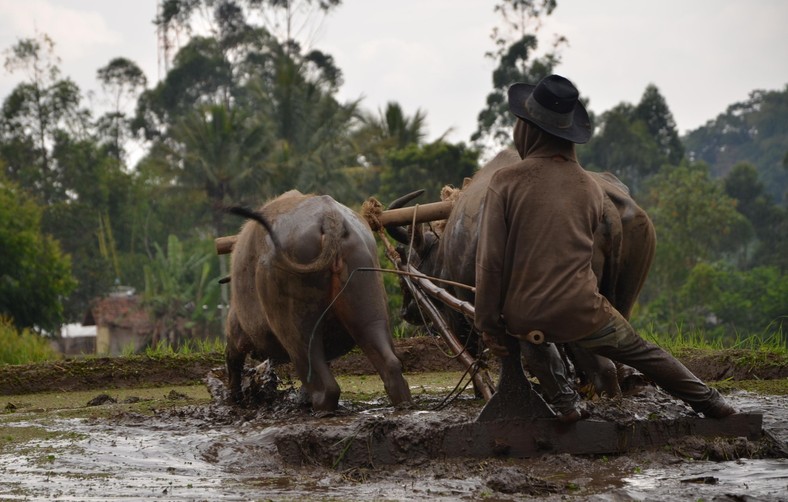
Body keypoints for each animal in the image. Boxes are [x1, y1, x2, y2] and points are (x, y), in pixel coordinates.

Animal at [225, 190, 412, 410]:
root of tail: (330, 219)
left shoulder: (236, 329)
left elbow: (233, 359)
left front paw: (234, 398)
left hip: (295, 319)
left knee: (319, 374)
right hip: (367, 294)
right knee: (388, 360)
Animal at [390, 149, 656, 396]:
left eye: (413, 258)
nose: (405, 311)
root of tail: (606, 205)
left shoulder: (457, 312)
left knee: (603, 368)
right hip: (622, 298)